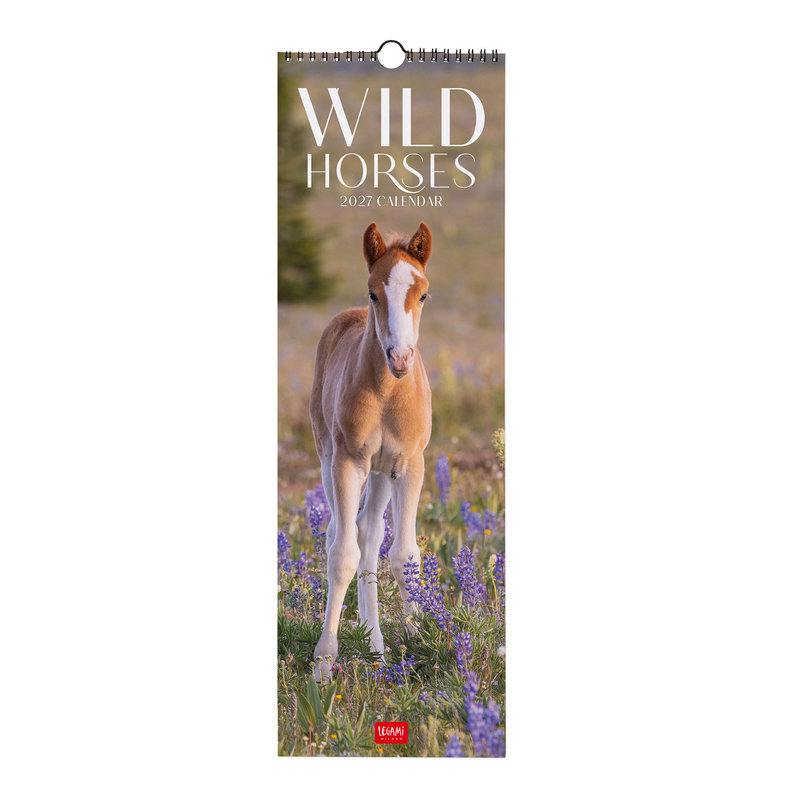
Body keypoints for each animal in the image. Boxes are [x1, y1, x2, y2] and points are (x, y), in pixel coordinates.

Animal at [309, 221, 433, 680]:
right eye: (373, 293)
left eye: (423, 294)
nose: (400, 358)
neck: (387, 392)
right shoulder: (349, 462)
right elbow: (342, 555)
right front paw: (323, 662)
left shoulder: (410, 465)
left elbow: (404, 554)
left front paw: (422, 644)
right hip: (329, 455)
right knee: (342, 534)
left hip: (381, 472)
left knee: (369, 532)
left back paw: (376, 647)